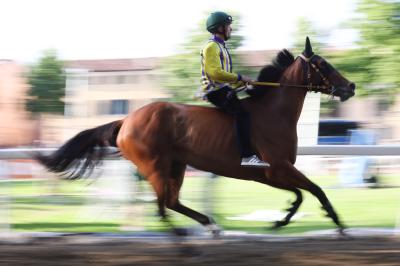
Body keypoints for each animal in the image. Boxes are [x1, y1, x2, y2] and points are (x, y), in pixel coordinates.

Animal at [36, 37, 356, 235]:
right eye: (323, 64)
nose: (350, 86)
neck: (273, 112)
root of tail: (126, 121)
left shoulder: (269, 174)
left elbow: (301, 194)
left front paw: (282, 219)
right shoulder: (278, 167)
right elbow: (316, 189)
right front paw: (338, 222)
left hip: (176, 164)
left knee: (172, 201)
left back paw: (209, 224)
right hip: (154, 165)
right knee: (163, 206)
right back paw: (182, 232)